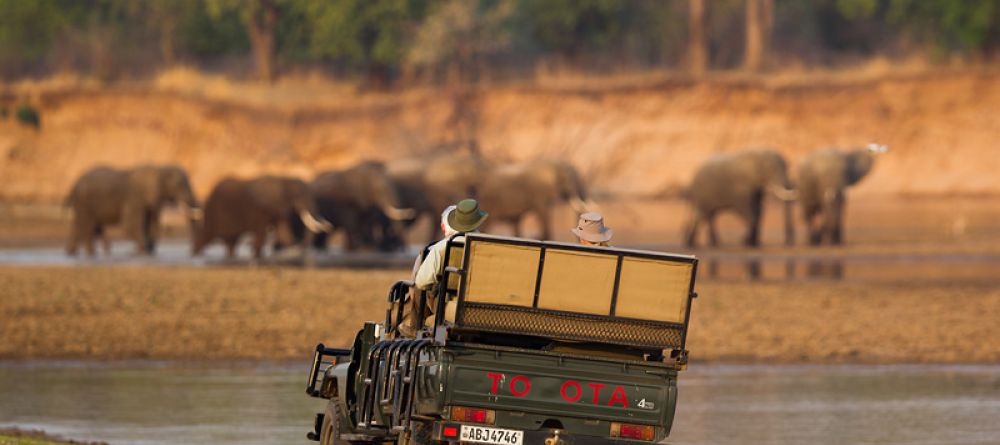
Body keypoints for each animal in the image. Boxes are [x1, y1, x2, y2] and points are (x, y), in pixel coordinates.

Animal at [65, 164, 200, 255]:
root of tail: (74, 184)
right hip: (84, 201)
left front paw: (147, 251)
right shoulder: (134, 198)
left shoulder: (151, 201)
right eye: (179, 184)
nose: (189, 251)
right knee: (87, 226)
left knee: (80, 225)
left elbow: (150, 224)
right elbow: (130, 225)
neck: (159, 169)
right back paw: (91, 254)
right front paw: (143, 251)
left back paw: (72, 254)